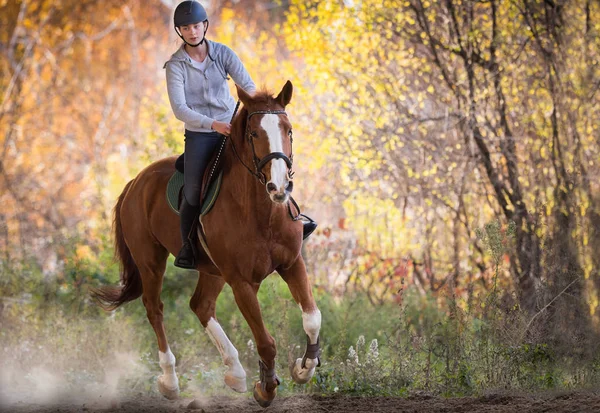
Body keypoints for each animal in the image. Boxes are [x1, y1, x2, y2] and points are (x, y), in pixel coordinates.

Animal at [92, 80, 322, 406]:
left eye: (288, 130)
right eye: (254, 134)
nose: (279, 187)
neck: (261, 212)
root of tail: (136, 181)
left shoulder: (292, 264)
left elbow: (312, 318)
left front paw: (303, 369)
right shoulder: (241, 282)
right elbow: (265, 341)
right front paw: (265, 388)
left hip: (212, 270)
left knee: (200, 305)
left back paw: (235, 373)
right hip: (150, 261)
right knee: (154, 308)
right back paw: (170, 381)